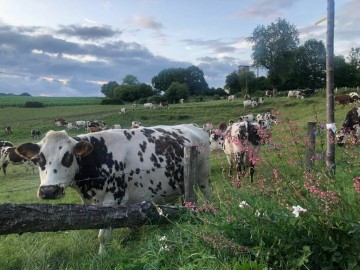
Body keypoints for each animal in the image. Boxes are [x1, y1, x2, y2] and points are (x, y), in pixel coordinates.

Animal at [16, 125, 212, 254]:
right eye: (38, 159)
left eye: (68, 156)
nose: (49, 191)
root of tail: (193, 126)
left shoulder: (113, 200)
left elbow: (103, 235)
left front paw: (102, 256)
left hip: (203, 175)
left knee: (208, 194)